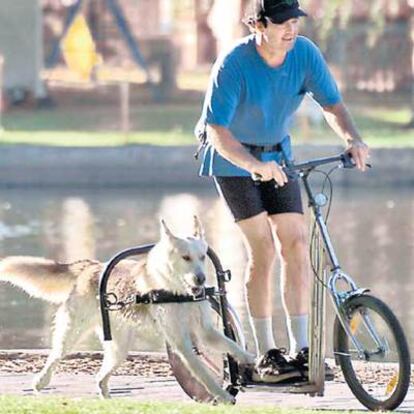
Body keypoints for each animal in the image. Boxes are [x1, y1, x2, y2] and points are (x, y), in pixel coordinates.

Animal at [0, 218, 254, 402]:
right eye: (185, 257)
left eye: (202, 257)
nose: (200, 279)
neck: (177, 290)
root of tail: (91, 267)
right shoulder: (182, 343)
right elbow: (204, 374)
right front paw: (221, 395)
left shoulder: (204, 332)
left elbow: (232, 346)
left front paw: (252, 360)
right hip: (71, 332)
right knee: (55, 356)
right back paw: (40, 382)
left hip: (118, 347)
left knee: (100, 376)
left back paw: (106, 397)